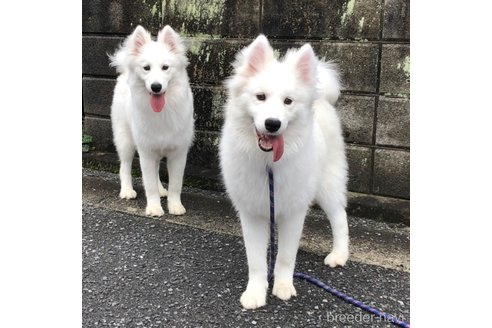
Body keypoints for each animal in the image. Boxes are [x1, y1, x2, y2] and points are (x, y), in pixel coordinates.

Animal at [109, 25, 194, 215]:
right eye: (146, 68)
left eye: (165, 67)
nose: (156, 87)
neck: (162, 111)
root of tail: (125, 72)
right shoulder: (146, 152)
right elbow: (149, 185)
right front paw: (154, 208)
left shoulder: (178, 153)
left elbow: (175, 185)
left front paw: (175, 206)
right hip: (126, 141)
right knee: (124, 167)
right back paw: (127, 191)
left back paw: (162, 190)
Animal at [219, 34, 350, 308]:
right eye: (260, 97)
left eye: (288, 102)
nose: (272, 124)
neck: (269, 163)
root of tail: (321, 99)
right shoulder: (252, 213)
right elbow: (257, 261)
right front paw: (255, 293)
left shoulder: (293, 212)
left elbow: (286, 256)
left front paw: (283, 286)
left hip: (327, 184)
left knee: (339, 217)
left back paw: (339, 255)